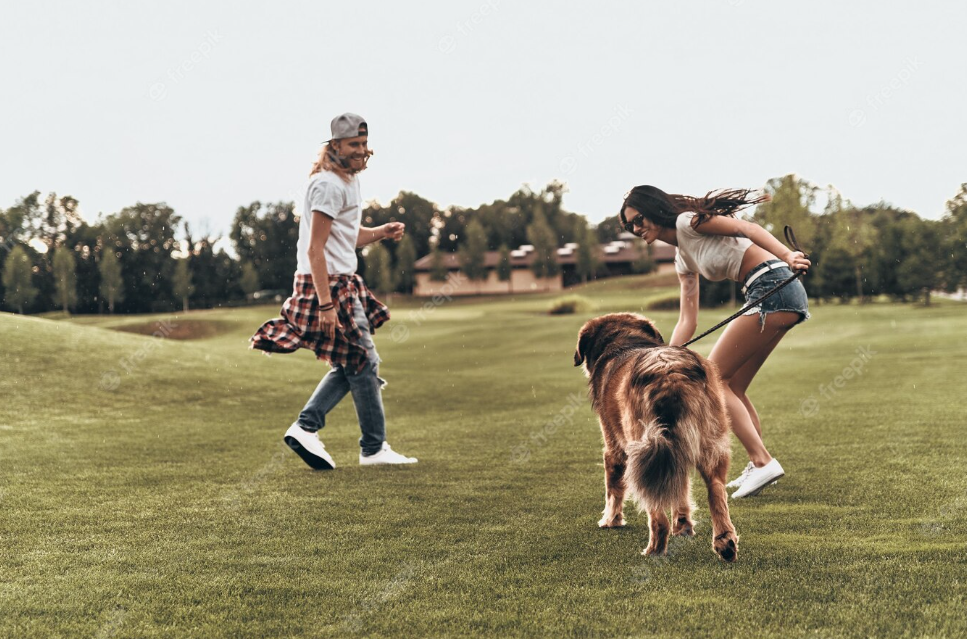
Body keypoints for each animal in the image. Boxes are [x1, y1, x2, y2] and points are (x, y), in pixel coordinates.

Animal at [576, 312, 740, 564]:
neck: (624, 342)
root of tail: (669, 371)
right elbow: (680, 490)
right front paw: (683, 527)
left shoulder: (614, 449)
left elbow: (613, 489)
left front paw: (611, 521)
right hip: (709, 442)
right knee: (716, 490)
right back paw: (725, 542)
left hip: (641, 451)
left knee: (657, 514)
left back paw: (654, 550)